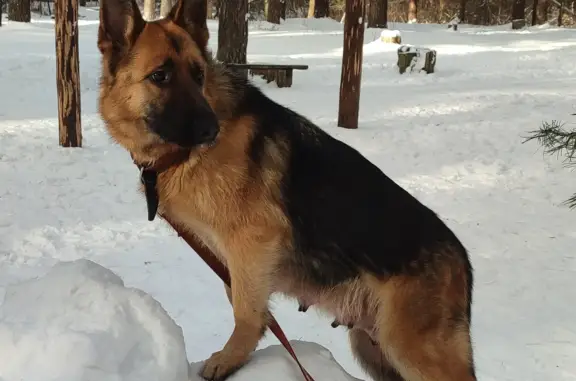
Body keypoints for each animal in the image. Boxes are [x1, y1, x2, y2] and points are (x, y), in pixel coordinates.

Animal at [98, 0, 476, 378]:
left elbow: (245, 310)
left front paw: (231, 358)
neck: (182, 156)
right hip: (374, 349)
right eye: (160, 76)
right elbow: (243, 300)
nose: (211, 131)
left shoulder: (252, 245)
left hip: (410, 351)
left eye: (198, 75)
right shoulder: (233, 259)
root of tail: (462, 261)